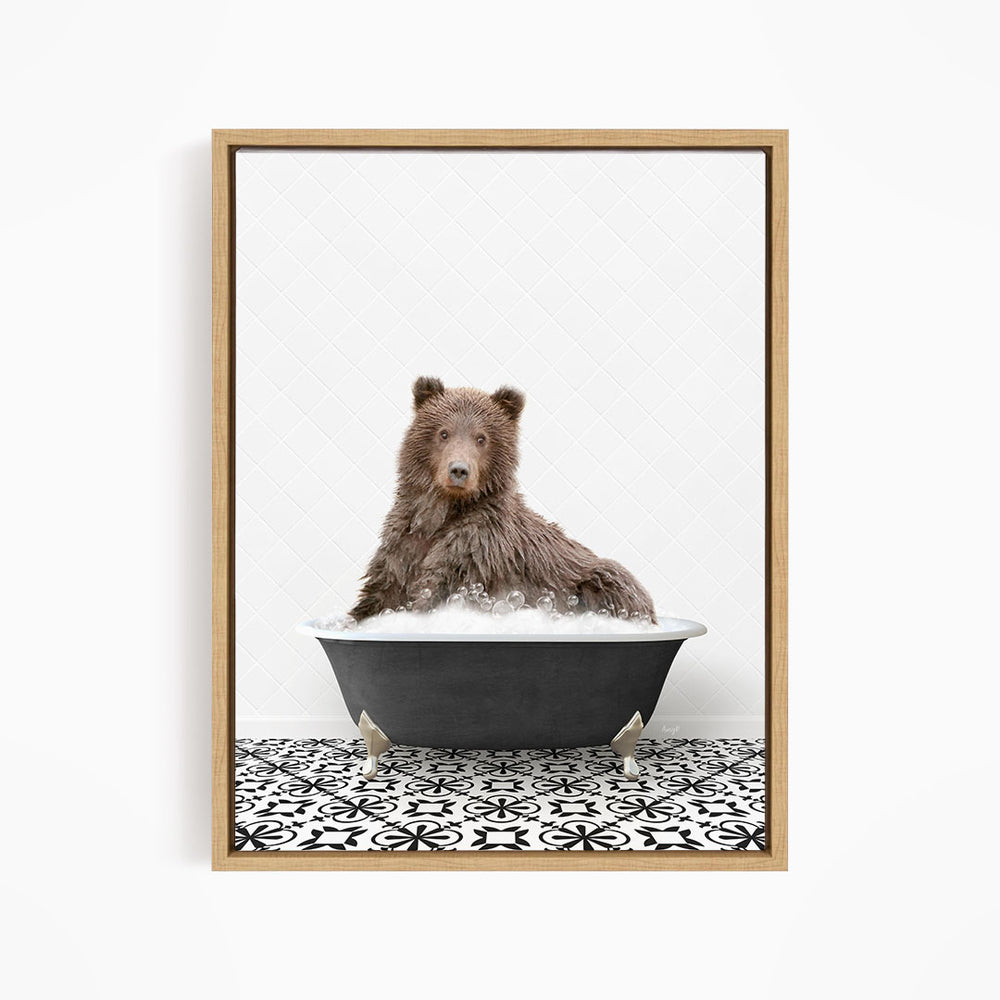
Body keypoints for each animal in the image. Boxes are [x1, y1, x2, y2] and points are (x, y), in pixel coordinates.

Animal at [349, 376, 656, 623]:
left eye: (481, 438)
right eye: (443, 432)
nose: (459, 470)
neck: (442, 512)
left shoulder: (477, 549)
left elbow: (437, 589)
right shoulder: (403, 545)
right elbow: (380, 594)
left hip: (596, 579)